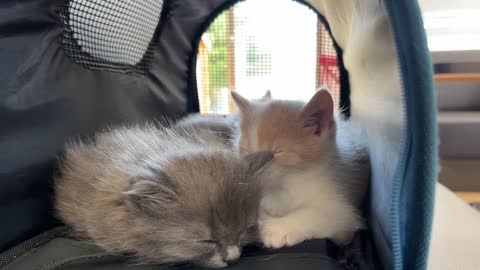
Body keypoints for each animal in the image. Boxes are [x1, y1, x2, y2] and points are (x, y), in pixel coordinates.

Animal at [231, 88, 370, 249]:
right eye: (246, 151)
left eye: (276, 153)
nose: (253, 171)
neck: (289, 181)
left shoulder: (344, 213)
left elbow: (322, 216)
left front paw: (276, 229)